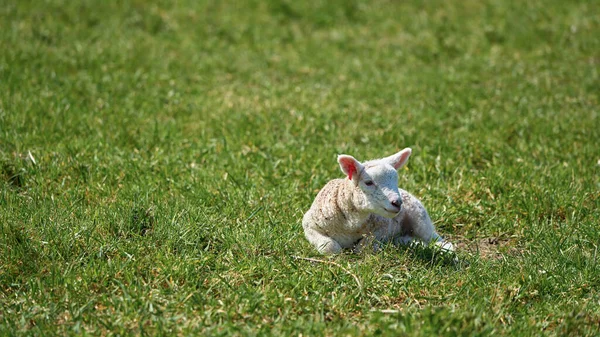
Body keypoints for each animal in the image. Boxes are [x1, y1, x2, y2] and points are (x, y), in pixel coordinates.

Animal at [302, 148, 452, 255]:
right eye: (368, 182)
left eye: (396, 180)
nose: (397, 203)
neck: (350, 225)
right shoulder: (309, 224)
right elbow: (330, 247)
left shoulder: (383, 227)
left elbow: (363, 248)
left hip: (420, 217)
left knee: (434, 238)